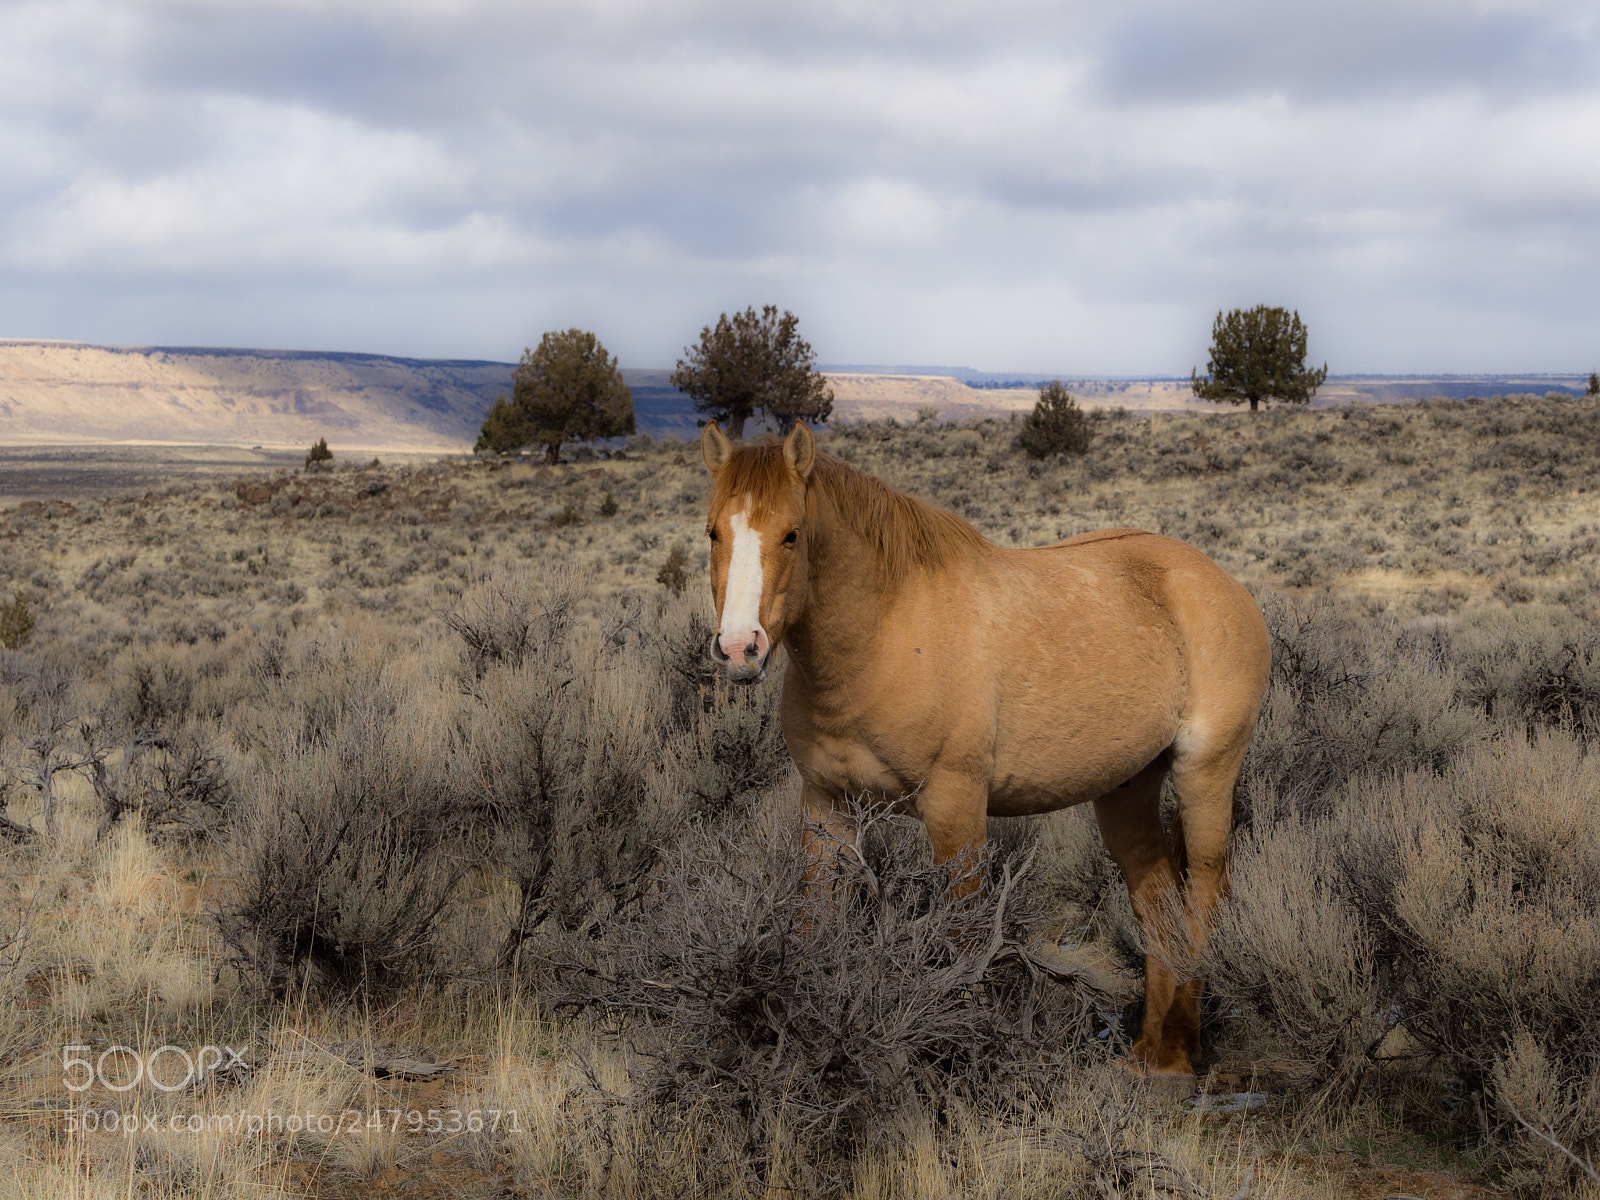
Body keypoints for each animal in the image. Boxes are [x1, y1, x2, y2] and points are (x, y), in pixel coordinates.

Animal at [699, 419, 1271, 1086]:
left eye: (791, 534)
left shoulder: (955, 808)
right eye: (713, 532)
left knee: (1204, 899)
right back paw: (1152, 1058)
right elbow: (814, 924)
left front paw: (959, 1062)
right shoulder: (826, 808)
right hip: (1126, 789)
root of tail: (1220, 583)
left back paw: (1180, 1053)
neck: (883, 636)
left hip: (1206, 775)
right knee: (1158, 908)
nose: (740, 648)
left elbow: (964, 938)